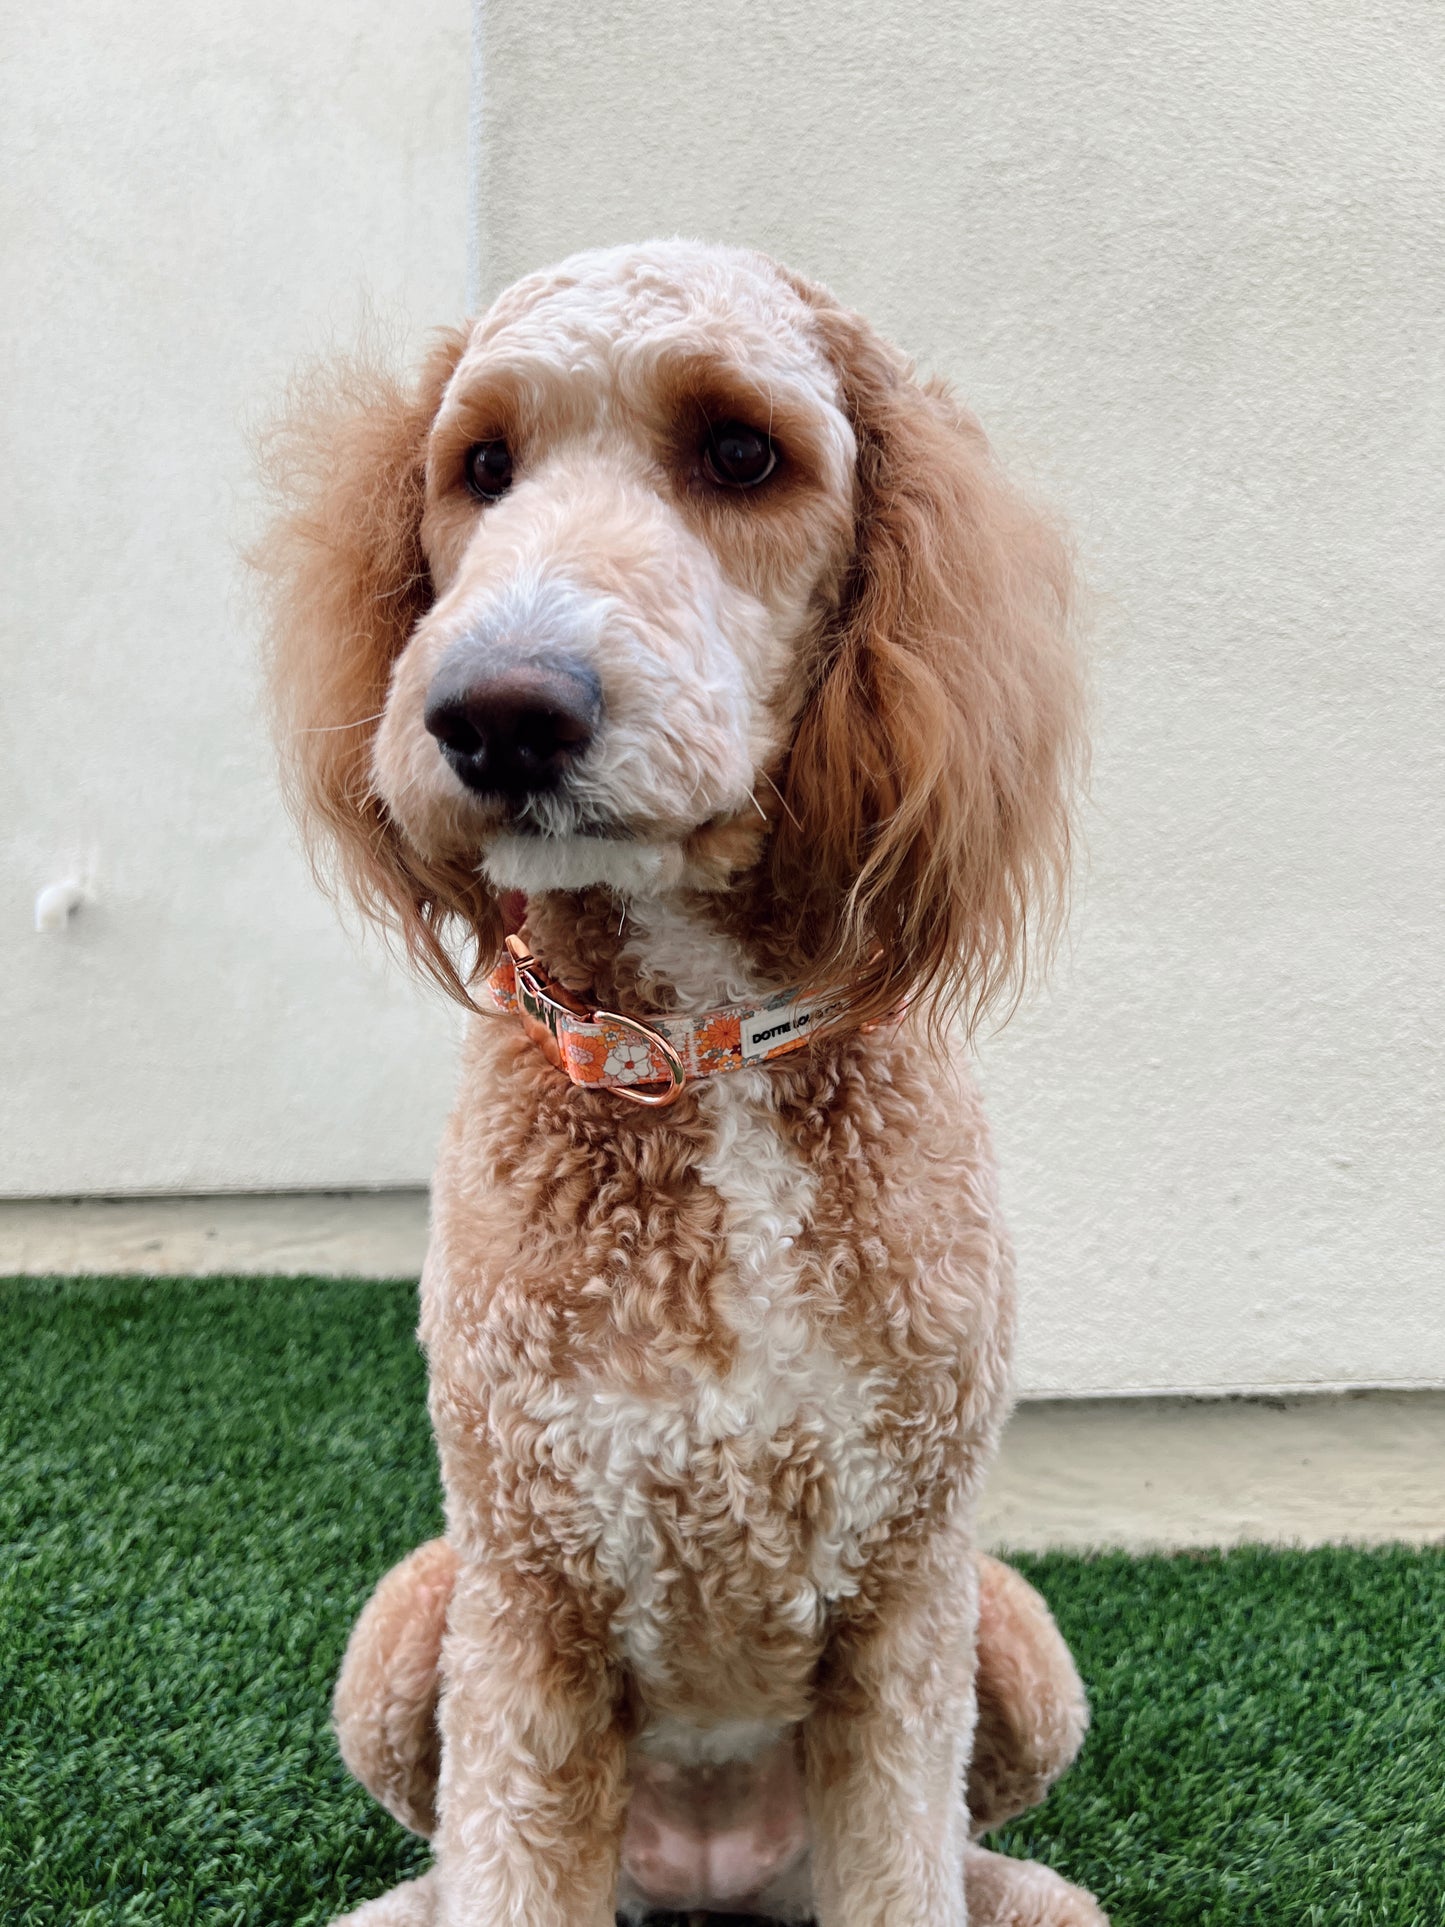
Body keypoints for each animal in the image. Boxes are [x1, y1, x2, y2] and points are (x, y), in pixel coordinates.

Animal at [260, 233, 1102, 1919]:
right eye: (481, 467)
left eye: (740, 452)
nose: (496, 711)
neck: (701, 1059)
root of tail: (714, 1872)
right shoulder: (527, 1598)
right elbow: (501, 1865)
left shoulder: (907, 1597)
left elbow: (908, 1860)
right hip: (409, 1625)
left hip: (1015, 1641)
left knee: (973, 1843)